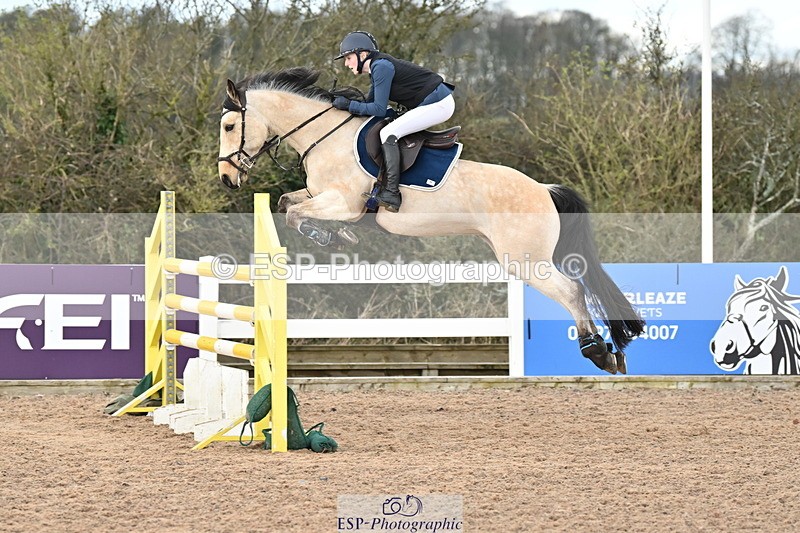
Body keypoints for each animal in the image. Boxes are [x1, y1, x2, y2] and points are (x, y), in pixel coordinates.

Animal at [216, 67, 645, 374]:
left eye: (229, 126)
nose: (226, 178)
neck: (324, 135)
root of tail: (544, 190)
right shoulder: (321, 196)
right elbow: (287, 203)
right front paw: (337, 238)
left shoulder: (344, 203)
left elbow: (294, 214)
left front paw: (333, 238)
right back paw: (609, 352)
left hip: (524, 260)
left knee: (571, 291)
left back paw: (597, 352)